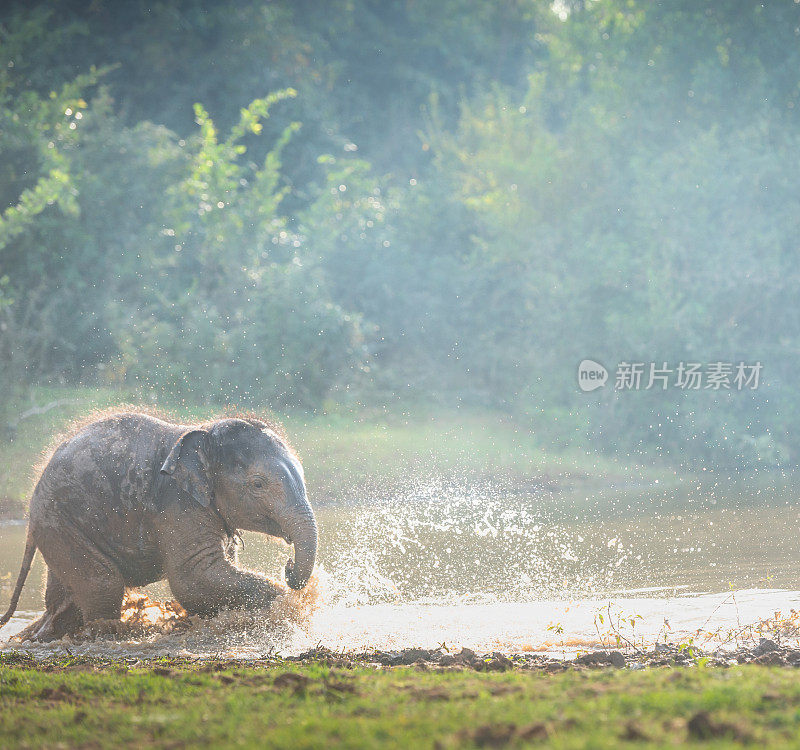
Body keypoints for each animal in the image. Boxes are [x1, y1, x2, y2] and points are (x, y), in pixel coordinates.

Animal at [0, 414, 318, 644]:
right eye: (258, 484)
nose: (288, 565)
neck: (203, 432)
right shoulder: (177, 504)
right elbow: (194, 577)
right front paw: (289, 607)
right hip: (59, 520)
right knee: (103, 584)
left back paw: (42, 636)